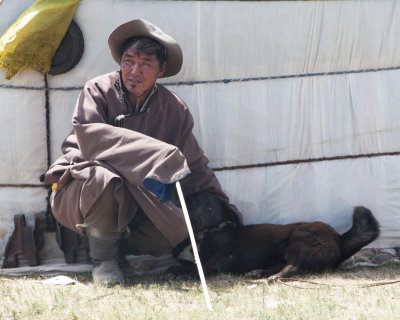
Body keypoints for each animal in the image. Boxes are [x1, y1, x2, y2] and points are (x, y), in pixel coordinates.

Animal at [170, 192, 380, 280]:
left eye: (201, 202)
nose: (177, 197)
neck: (212, 230)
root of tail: (338, 238)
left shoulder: (222, 258)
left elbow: (201, 268)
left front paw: (184, 275)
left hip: (299, 239)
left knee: (293, 266)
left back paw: (272, 277)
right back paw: (257, 272)